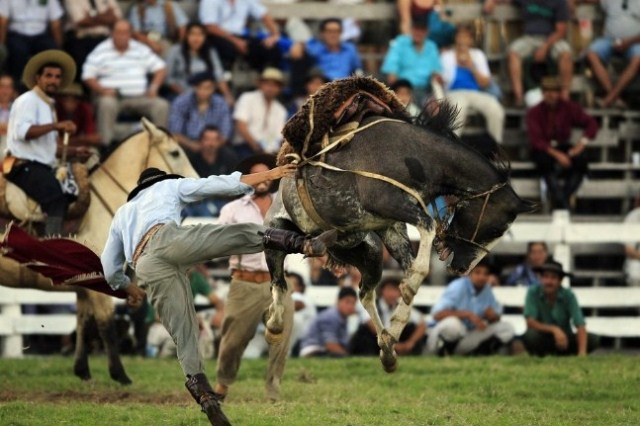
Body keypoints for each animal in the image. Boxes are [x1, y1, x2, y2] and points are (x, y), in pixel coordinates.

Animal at [0, 118, 198, 384]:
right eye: (175, 153)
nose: (196, 180)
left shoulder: (86, 286)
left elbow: (84, 321)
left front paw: (82, 370)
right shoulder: (102, 282)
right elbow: (106, 325)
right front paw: (120, 374)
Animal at [262, 77, 532, 372]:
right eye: (497, 229)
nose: (462, 268)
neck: (414, 155)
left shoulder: (390, 227)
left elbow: (413, 269)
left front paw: (395, 327)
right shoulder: (389, 203)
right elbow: (425, 238)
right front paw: (406, 297)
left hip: (365, 252)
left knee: (365, 293)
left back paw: (387, 346)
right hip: (274, 232)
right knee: (279, 282)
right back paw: (273, 324)